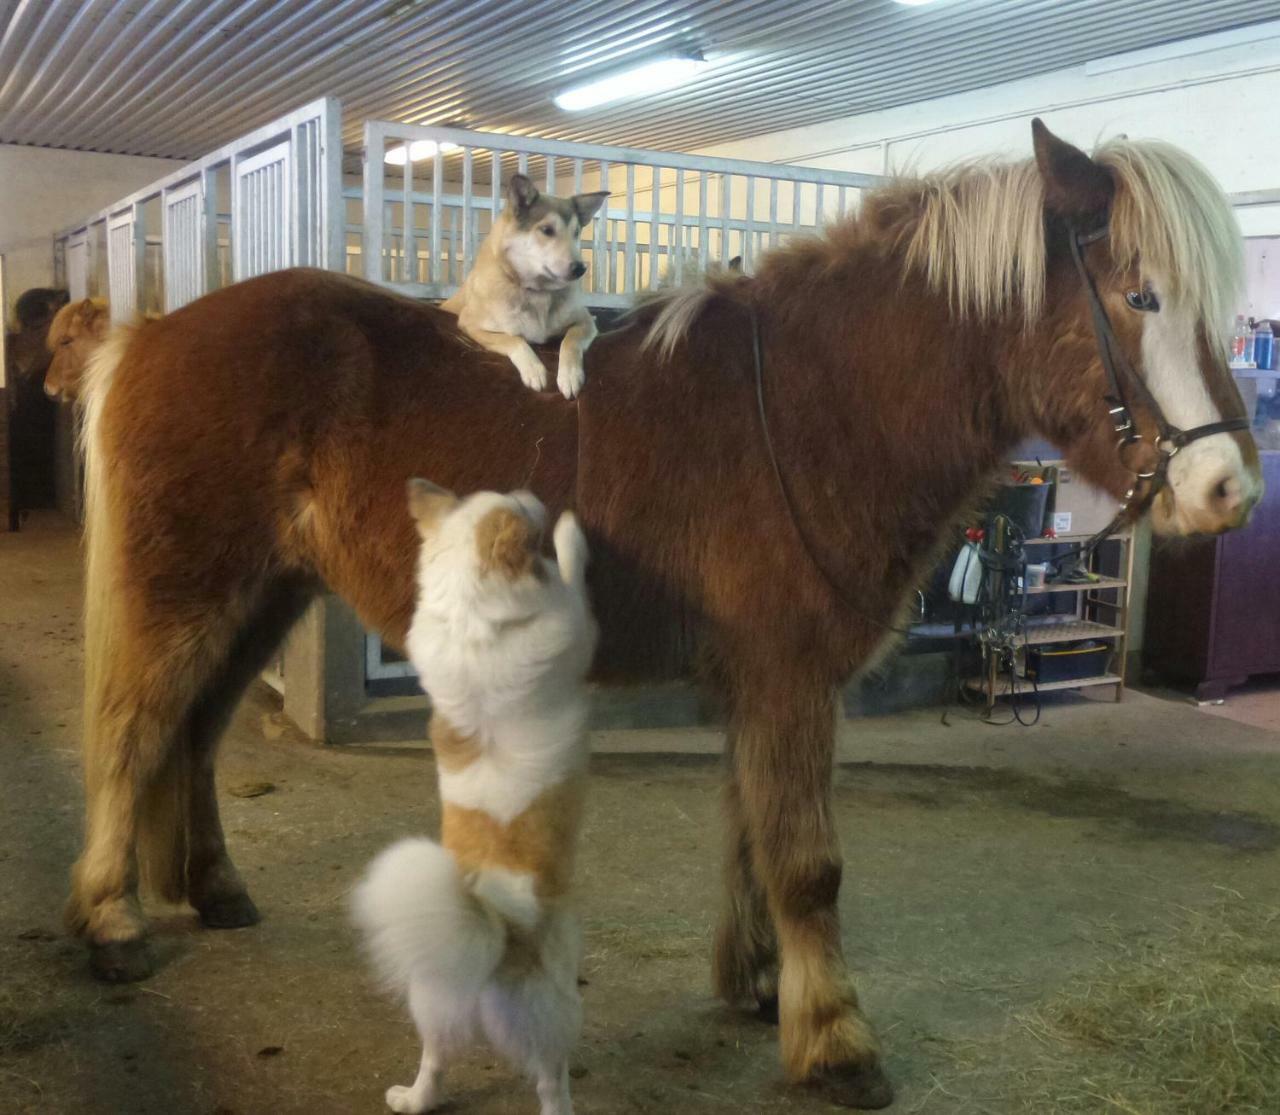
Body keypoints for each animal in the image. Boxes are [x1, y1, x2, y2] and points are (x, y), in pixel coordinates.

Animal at [353, 481, 596, 1115]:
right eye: (519, 509)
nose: (534, 493)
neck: (471, 619)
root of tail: (494, 930)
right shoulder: (578, 622)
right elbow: (573, 574)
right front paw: (570, 533)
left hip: (433, 994)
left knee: (436, 1057)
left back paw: (414, 1097)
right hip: (557, 1000)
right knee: (550, 1076)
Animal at [442, 174, 606, 401]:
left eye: (576, 232)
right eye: (547, 230)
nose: (581, 268)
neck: (538, 292)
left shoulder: (584, 322)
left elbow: (570, 341)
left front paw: (570, 375)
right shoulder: (470, 325)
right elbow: (514, 340)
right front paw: (534, 370)